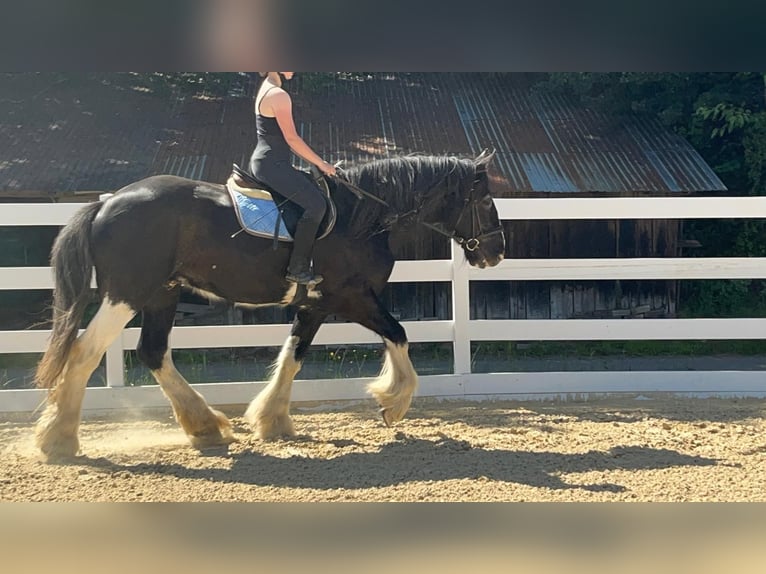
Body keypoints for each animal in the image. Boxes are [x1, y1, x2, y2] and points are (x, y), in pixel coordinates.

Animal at [34, 152, 506, 460]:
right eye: (484, 201)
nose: (496, 252)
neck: (360, 216)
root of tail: (106, 203)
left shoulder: (316, 305)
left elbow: (294, 355)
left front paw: (272, 420)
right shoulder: (352, 297)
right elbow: (399, 334)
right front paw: (393, 402)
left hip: (162, 293)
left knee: (153, 352)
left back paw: (204, 426)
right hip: (126, 295)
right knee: (85, 353)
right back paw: (58, 439)